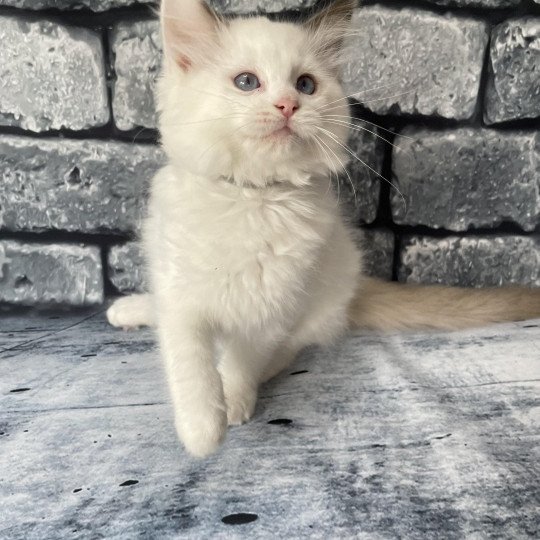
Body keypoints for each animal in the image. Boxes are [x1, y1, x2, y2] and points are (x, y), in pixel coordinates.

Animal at [108, 0, 540, 458]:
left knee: (283, 351)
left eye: (306, 85)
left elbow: (242, 360)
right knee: (160, 309)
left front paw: (234, 401)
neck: (255, 198)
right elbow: (190, 364)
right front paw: (203, 430)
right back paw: (127, 310)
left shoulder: (276, 307)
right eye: (247, 82)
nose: (287, 105)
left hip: (317, 305)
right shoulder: (181, 294)